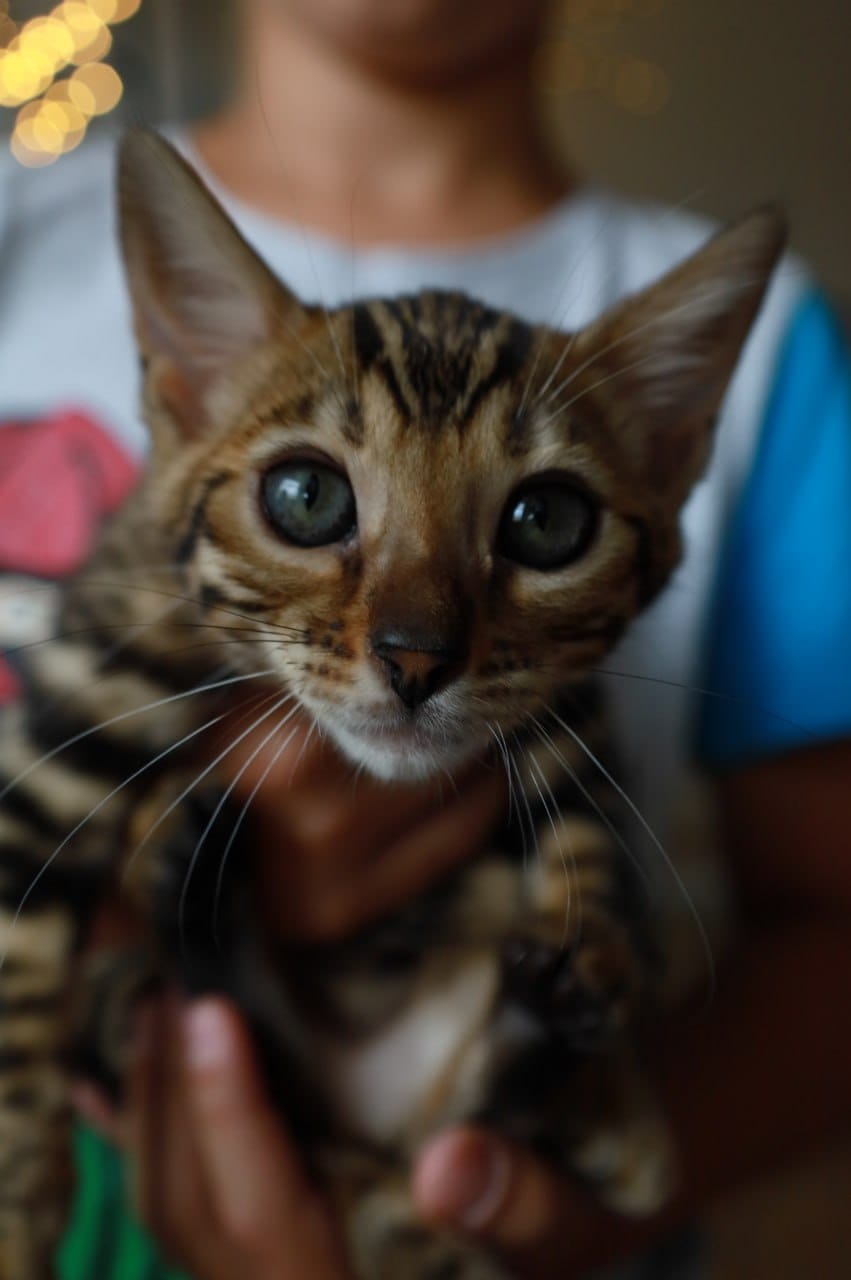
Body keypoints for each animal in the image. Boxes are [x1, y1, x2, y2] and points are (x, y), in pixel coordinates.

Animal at [0, 132, 783, 1280]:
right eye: (305, 496)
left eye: (545, 519)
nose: (417, 657)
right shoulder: (84, 688)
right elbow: (17, 960)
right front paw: (19, 1208)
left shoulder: (566, 710)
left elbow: (588, 835)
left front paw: (602, 979)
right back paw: (187, 870)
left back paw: (561, 1051)